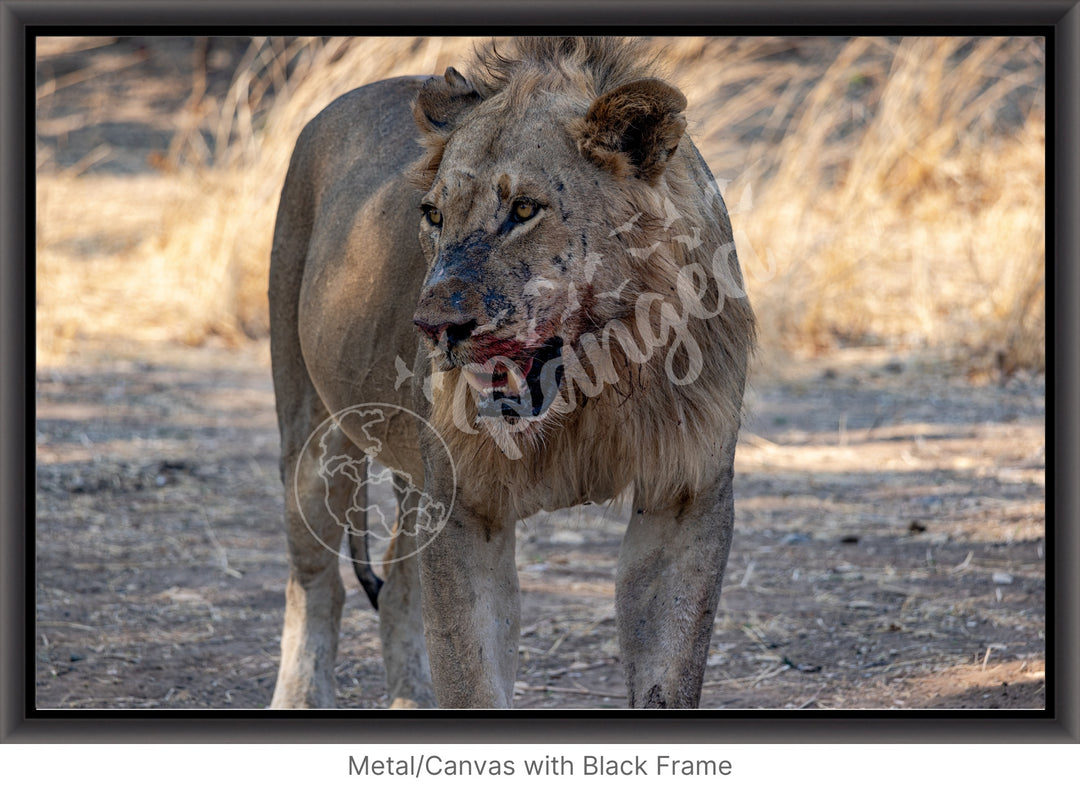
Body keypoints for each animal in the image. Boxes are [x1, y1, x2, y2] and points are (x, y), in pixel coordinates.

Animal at [268, 39, 756, 712]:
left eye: (524, 209)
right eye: (433, 214)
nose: (433, 327)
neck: (595, 384)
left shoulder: (686, 497)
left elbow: (669, 676)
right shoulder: (466, 506)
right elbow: (469, 674)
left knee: (396, 587)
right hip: (312, 433)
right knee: (314, 583)